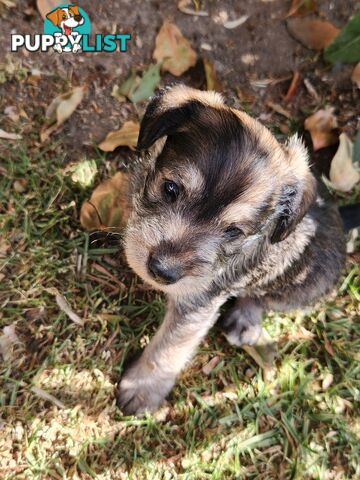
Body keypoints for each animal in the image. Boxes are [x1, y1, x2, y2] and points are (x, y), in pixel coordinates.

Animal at [116, 86, 344, 416]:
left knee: (264, 299)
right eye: (170, 189)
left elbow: (169, 349)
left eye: (233, 231)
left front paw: (142, 389)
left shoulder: (198, 304)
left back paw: (244, 320)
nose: (162, 271)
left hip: (304, 286)